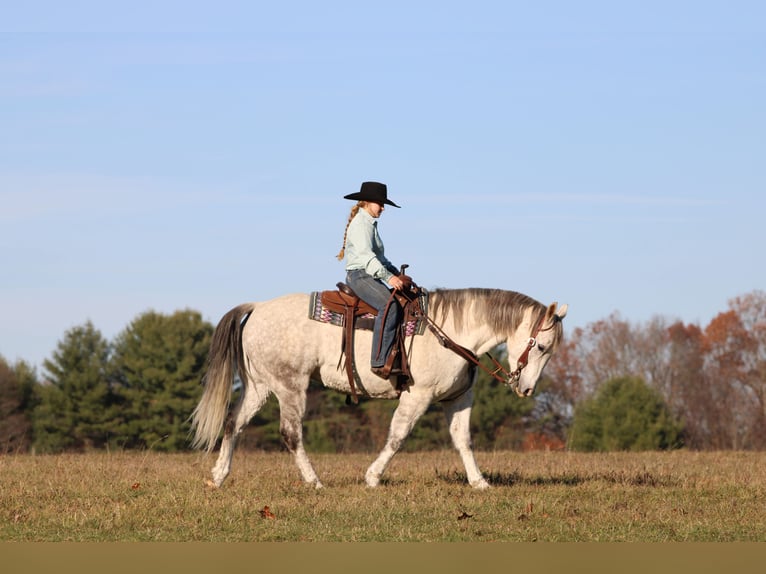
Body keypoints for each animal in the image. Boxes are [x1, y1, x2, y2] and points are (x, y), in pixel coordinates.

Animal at [190, 288, 567, 489]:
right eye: (540, 346)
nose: (527, 389)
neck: (453, 331)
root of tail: (256, 308)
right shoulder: (419, 396)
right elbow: (398, 437)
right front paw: (372, 477)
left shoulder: (458, 398)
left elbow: (463, 440)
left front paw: (479, 482)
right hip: (289, 386)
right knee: (291, 434)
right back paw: (314, 481)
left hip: (259, 386)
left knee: (233, 424)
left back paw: (218, 476)